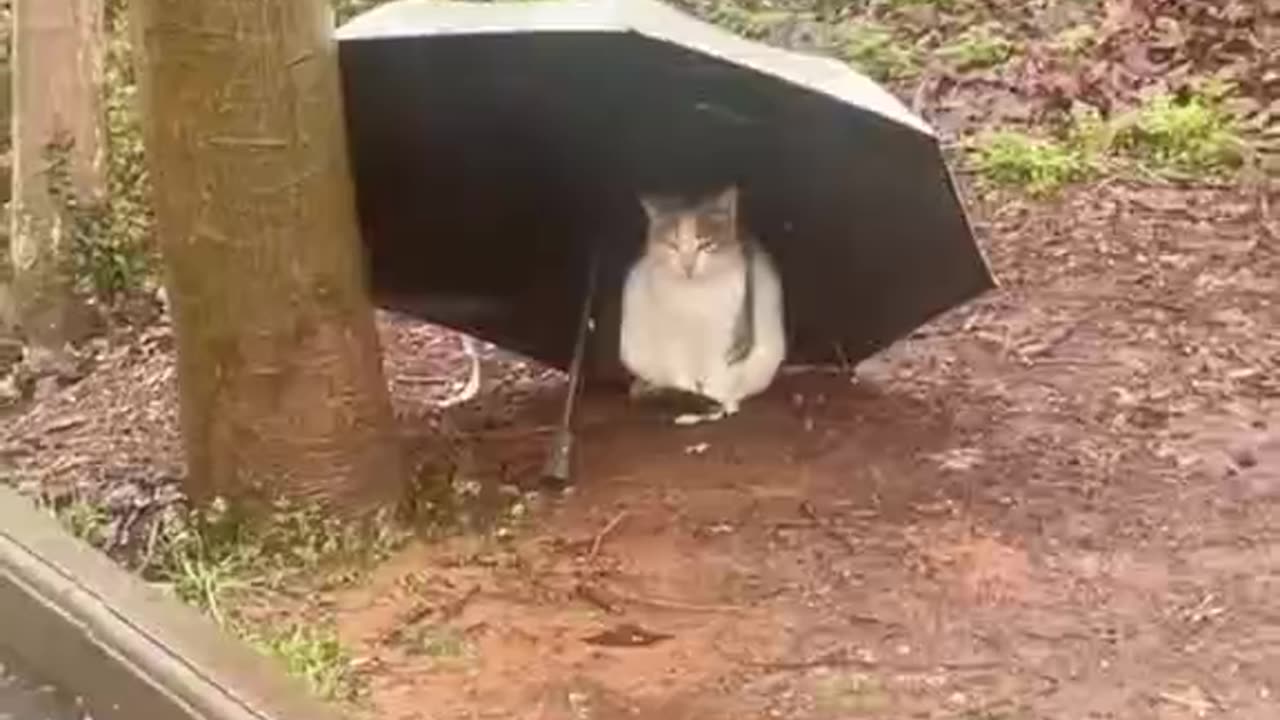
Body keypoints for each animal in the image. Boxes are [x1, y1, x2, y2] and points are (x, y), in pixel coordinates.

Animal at [616, 181, 783, 425]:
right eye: (673, 245)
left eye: (705, 244)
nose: (688, 266)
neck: (695, 298)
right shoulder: (674, 343)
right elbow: (683, 379)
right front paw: (694, 410)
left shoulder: (729, 339)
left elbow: (719, 378)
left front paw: (718, 405)